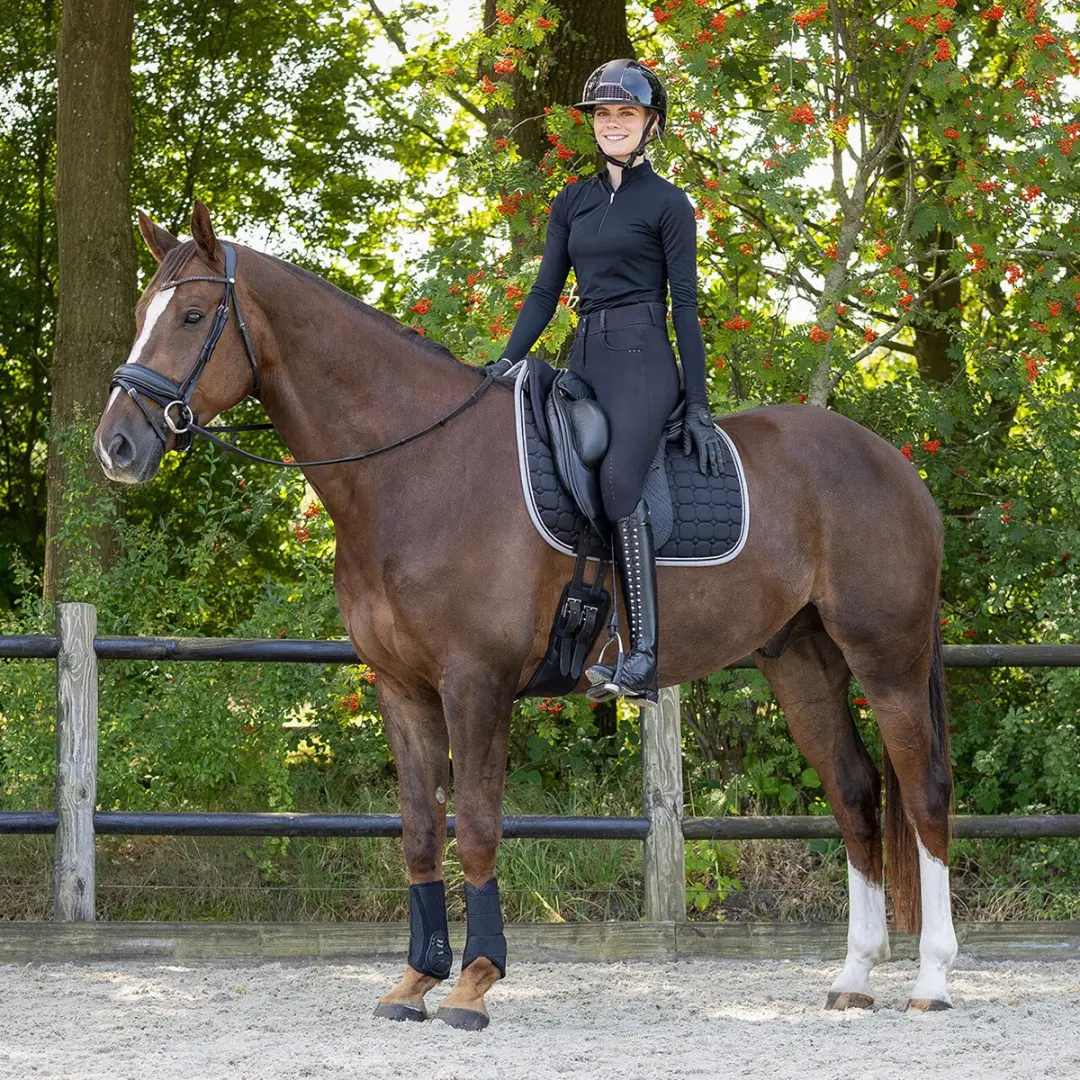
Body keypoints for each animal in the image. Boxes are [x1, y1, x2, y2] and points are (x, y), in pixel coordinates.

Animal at [94, 202, 957, 1027]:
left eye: (193, 316)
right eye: (140, 311)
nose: (117, 446)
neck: (414, 470)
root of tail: (893, 462)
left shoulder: (476, 684)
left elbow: (477, 825)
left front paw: (475, 984)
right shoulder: (401, 690)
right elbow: (418, 830)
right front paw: (414, 980)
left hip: (887, 658)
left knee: (922, 793)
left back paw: (933, 980)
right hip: (802, 660)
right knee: (853, 794)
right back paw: (853, 979)